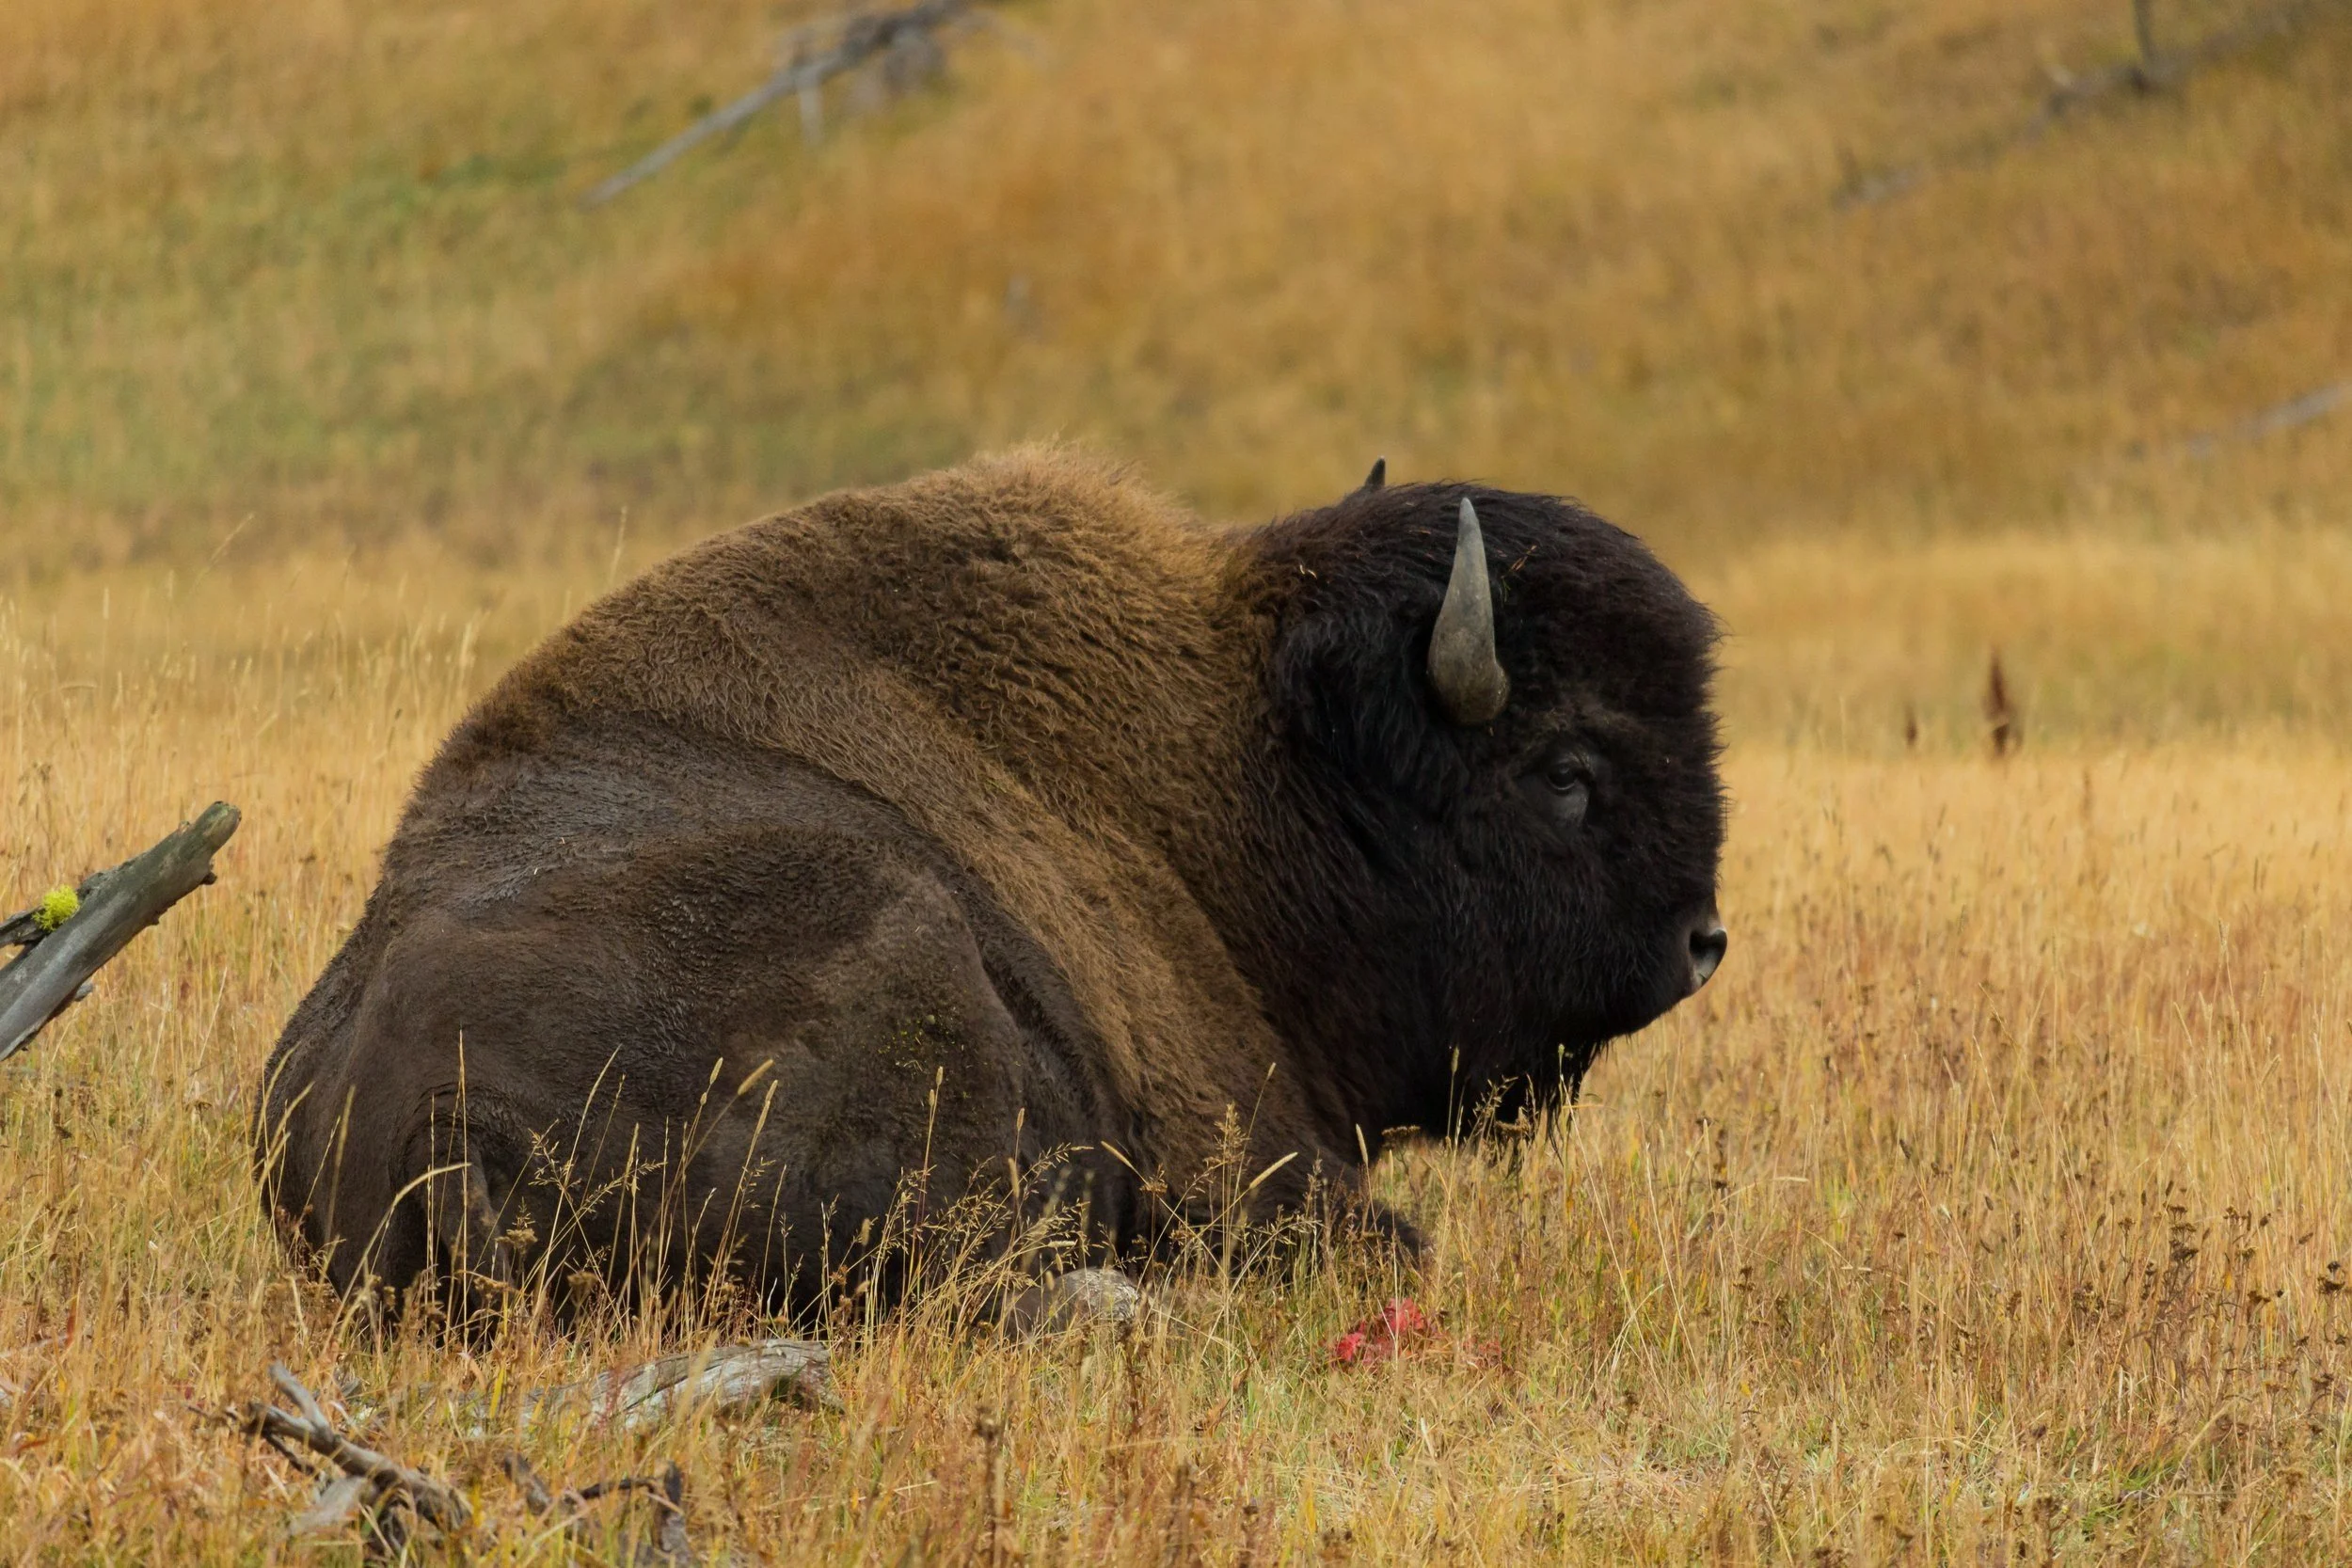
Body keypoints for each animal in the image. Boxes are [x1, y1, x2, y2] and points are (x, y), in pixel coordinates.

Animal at [257, 448, 1725, 1313]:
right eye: (1566, 769)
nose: (1702, 941)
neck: (1253, 755)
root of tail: (441, 1130)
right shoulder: (1250, 1144)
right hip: (908, 941)